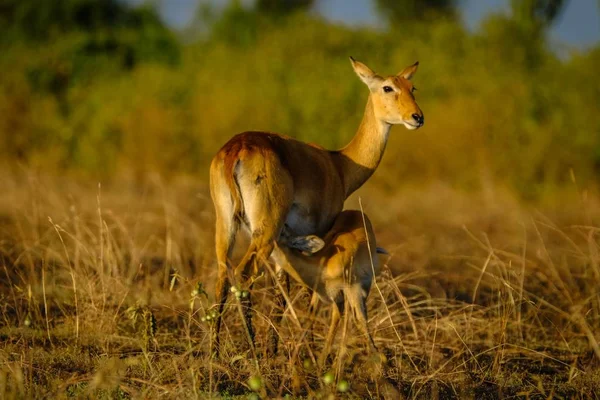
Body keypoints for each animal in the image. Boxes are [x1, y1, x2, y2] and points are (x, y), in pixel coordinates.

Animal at [210, 57, 422, 354]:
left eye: (412, 87)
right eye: (387, 87)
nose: (417, 117)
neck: (339, 165)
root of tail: (236, 150)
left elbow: (282, 288)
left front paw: (276, 349)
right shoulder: (318, 233)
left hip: (226, 224)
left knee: (222, 276)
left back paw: (214, 352)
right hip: (265, 230)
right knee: (243, 274)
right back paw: (252, 350)